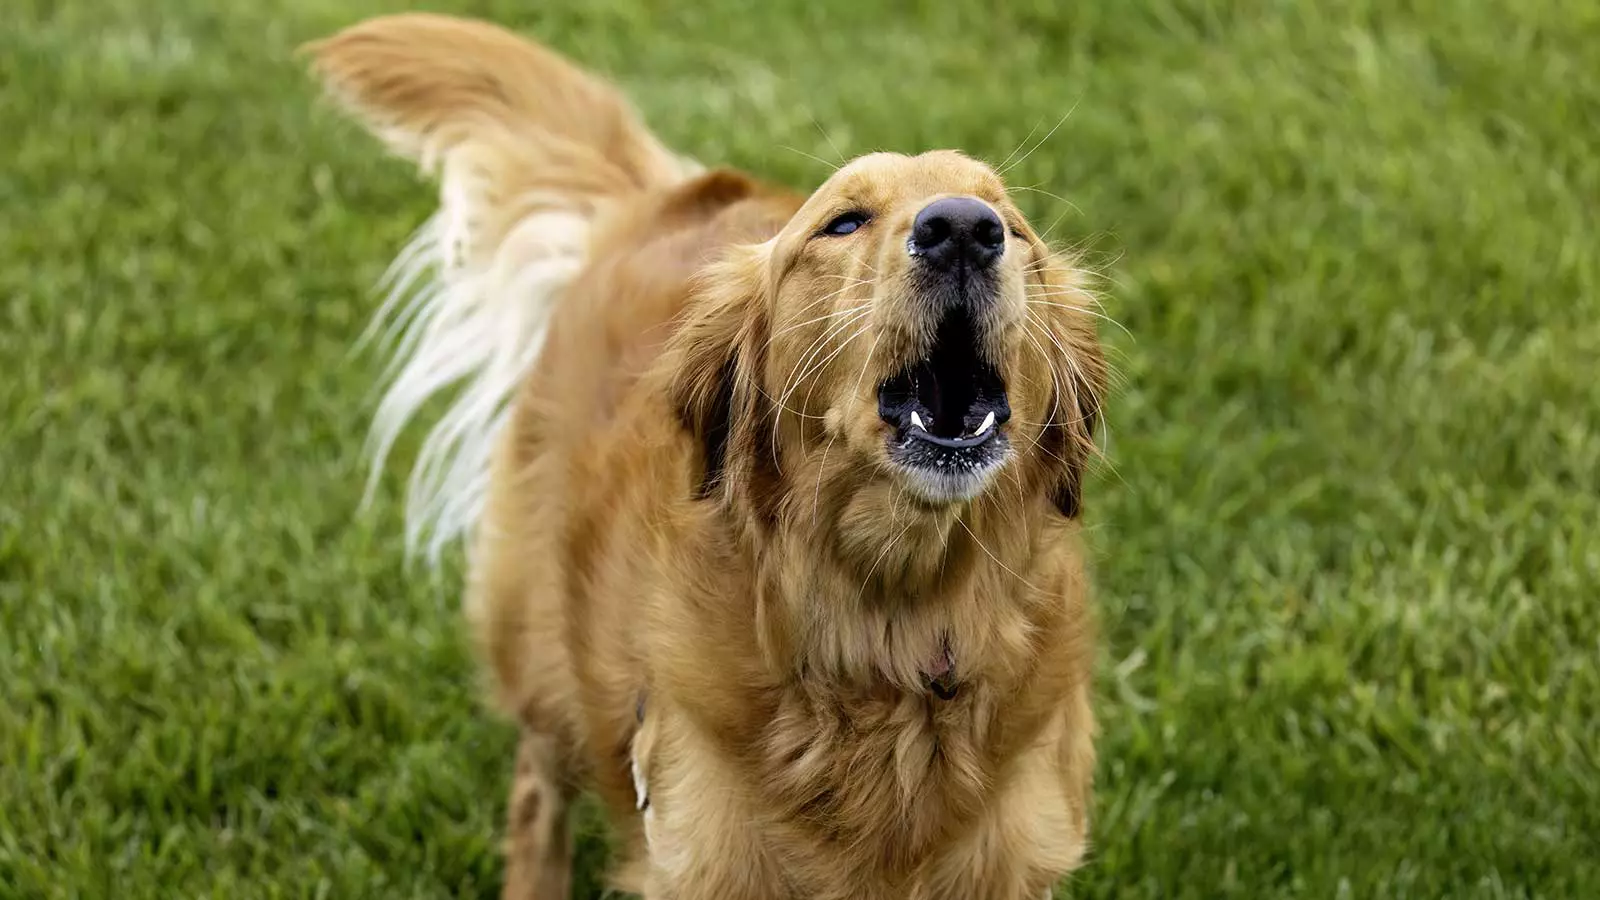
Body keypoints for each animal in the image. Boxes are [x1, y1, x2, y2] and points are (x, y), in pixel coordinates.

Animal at [308, 15, 1113, 896]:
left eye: (1015, 226)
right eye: (843, 222)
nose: (964, 229)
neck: (891, 641)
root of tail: (667, 198)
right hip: (538, 635)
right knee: (536, 785)